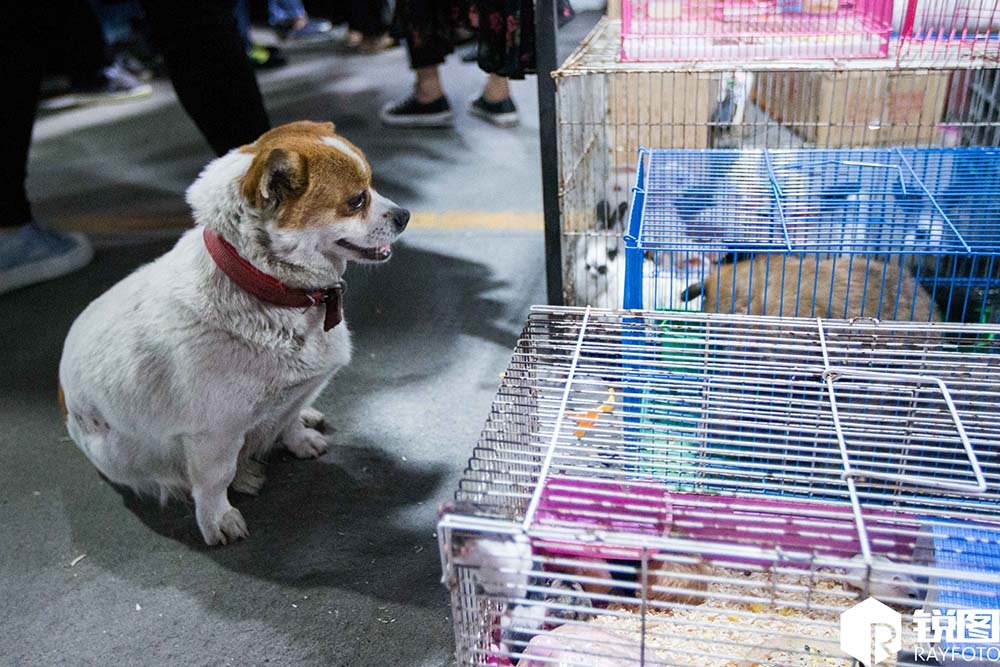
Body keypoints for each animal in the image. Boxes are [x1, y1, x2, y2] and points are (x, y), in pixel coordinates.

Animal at [59, 121, 410, 544]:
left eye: (373, 184)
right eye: (357, 200)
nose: (406, 215)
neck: (268, 289)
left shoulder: (290, 397)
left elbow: (289, 419)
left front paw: (299, 437)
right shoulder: (213, 435)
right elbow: (213, 481)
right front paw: (218, 517)